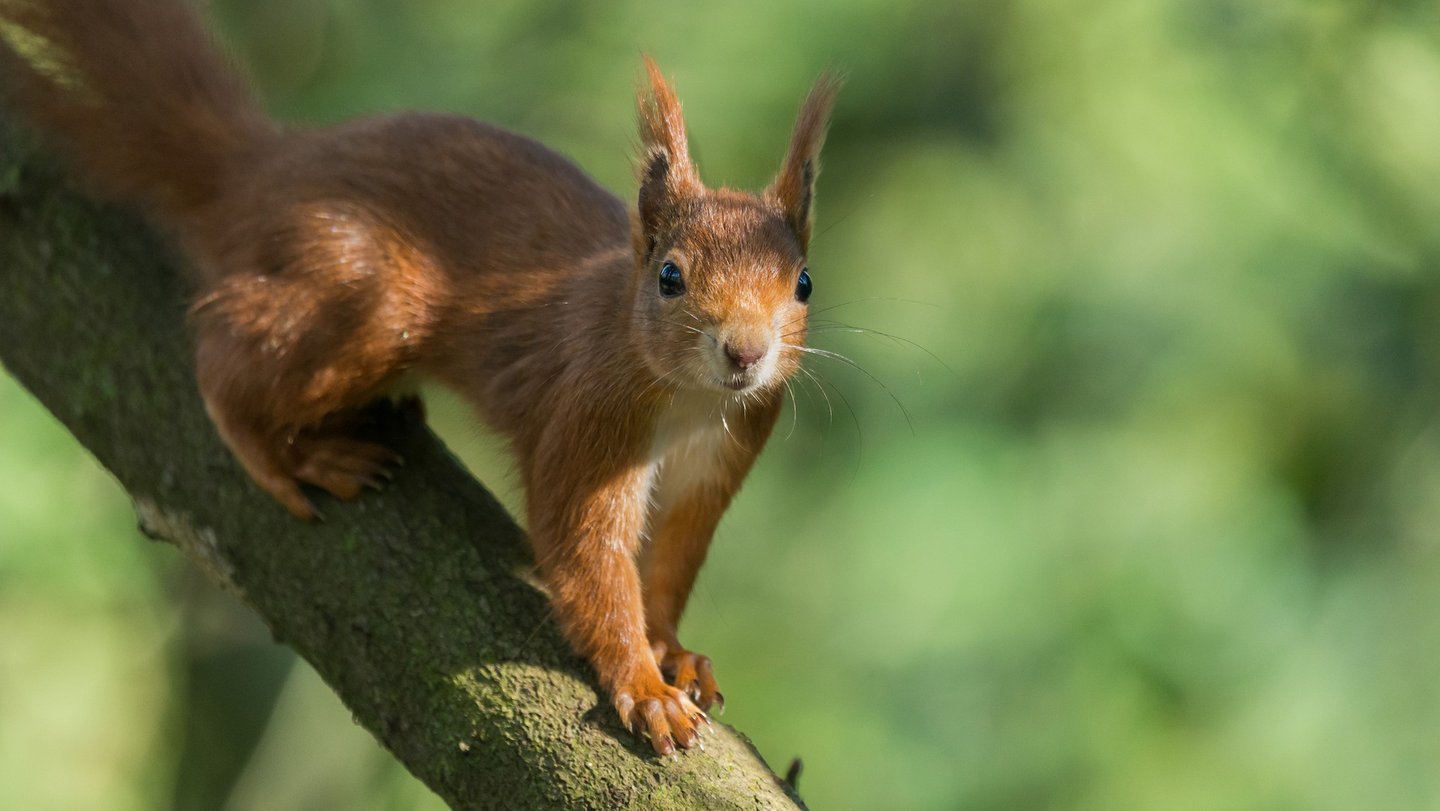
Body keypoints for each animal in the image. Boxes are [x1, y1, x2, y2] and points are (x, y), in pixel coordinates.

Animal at [0, 0, 840, 754]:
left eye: (803, 284)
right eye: (670, 277)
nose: (746, 351)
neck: (691, 399)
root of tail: (262, 175)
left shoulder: (724, 451)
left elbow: (671, 559)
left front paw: (674, 650)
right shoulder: (587, 416)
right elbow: (585, 552)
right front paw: (641, 681)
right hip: (368, 300)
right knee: (219, 354)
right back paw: (286, 455)